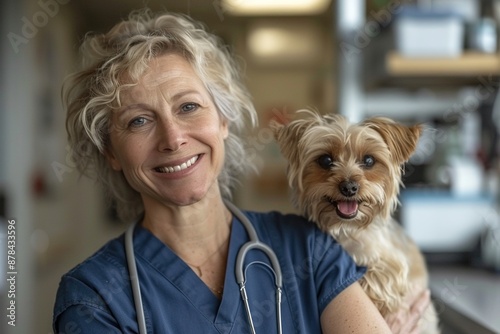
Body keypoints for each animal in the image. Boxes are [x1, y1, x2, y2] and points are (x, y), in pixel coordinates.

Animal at [272, 109, 440, 332]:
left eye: (368, 160)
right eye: (325, 160)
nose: (349, 187)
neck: (345, 228)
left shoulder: (392, 266)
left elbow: (373, 275)